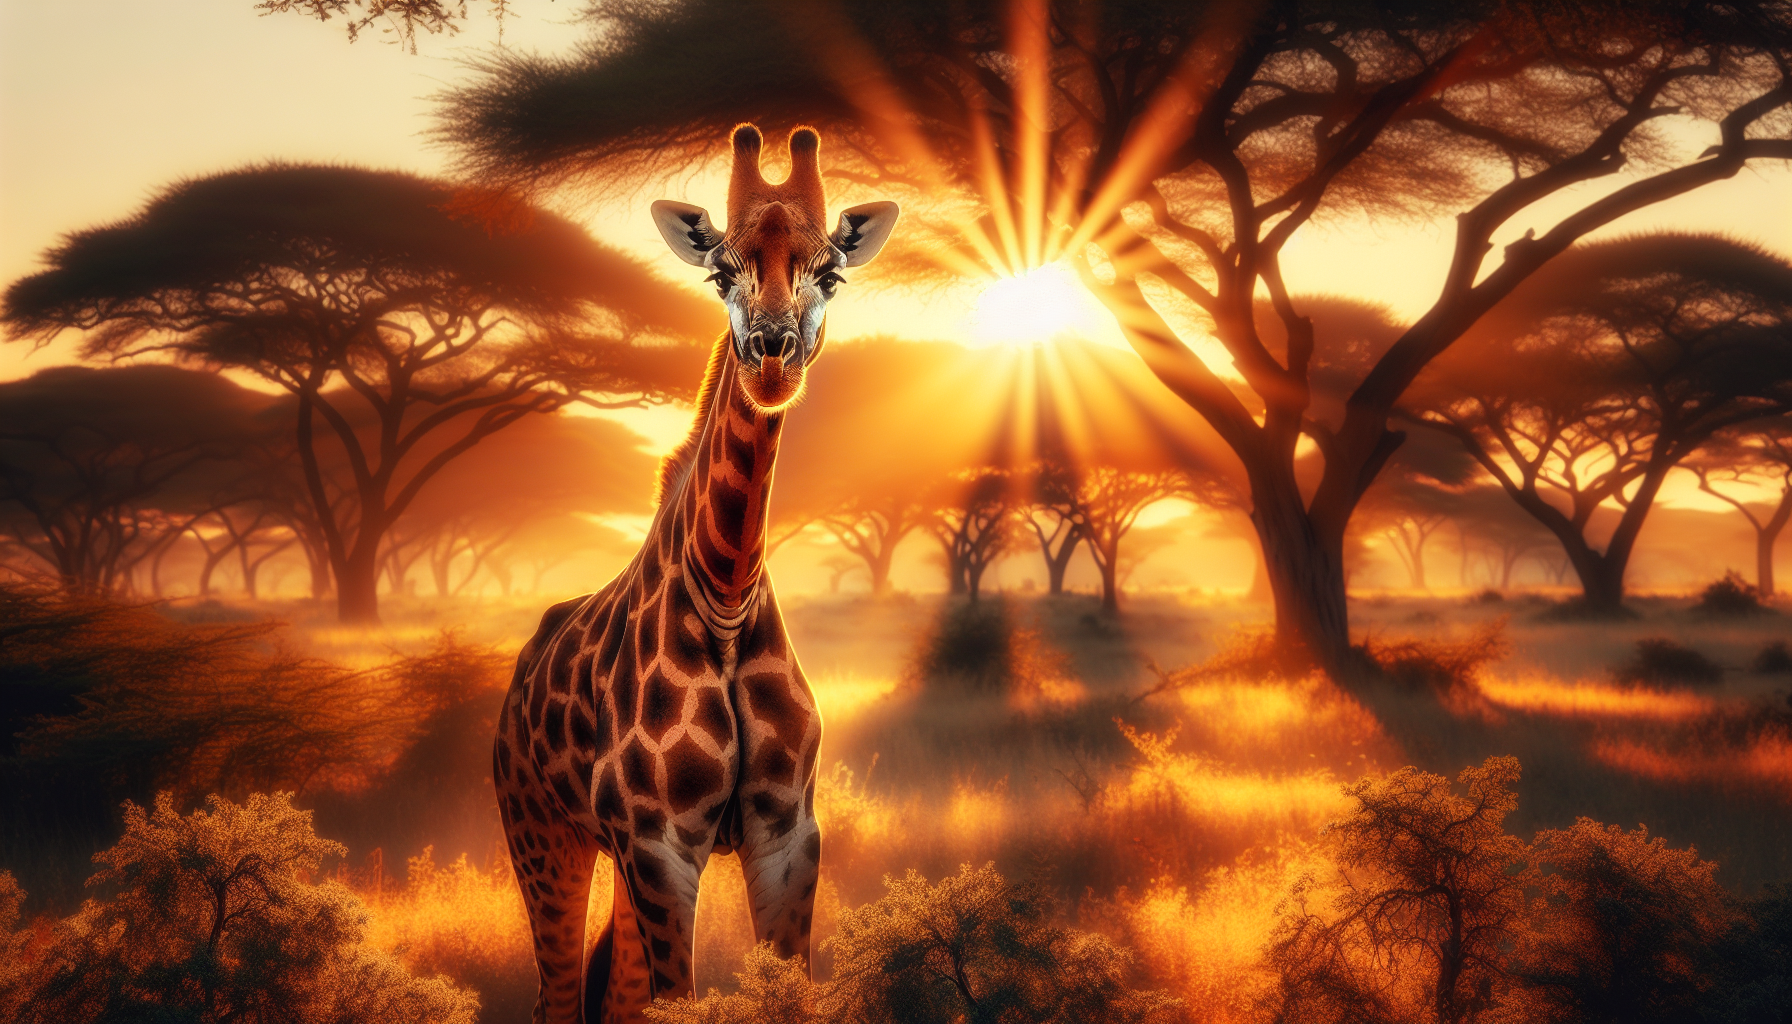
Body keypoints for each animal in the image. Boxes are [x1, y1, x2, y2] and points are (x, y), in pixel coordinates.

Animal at [492, 123, 899, 1024]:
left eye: (830, 272)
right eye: (720, 270)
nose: (771, 354)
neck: (726, 596)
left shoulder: (787, 834)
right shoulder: (660, 842)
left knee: (614, 996)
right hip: (542, 834)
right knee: (560, 995)